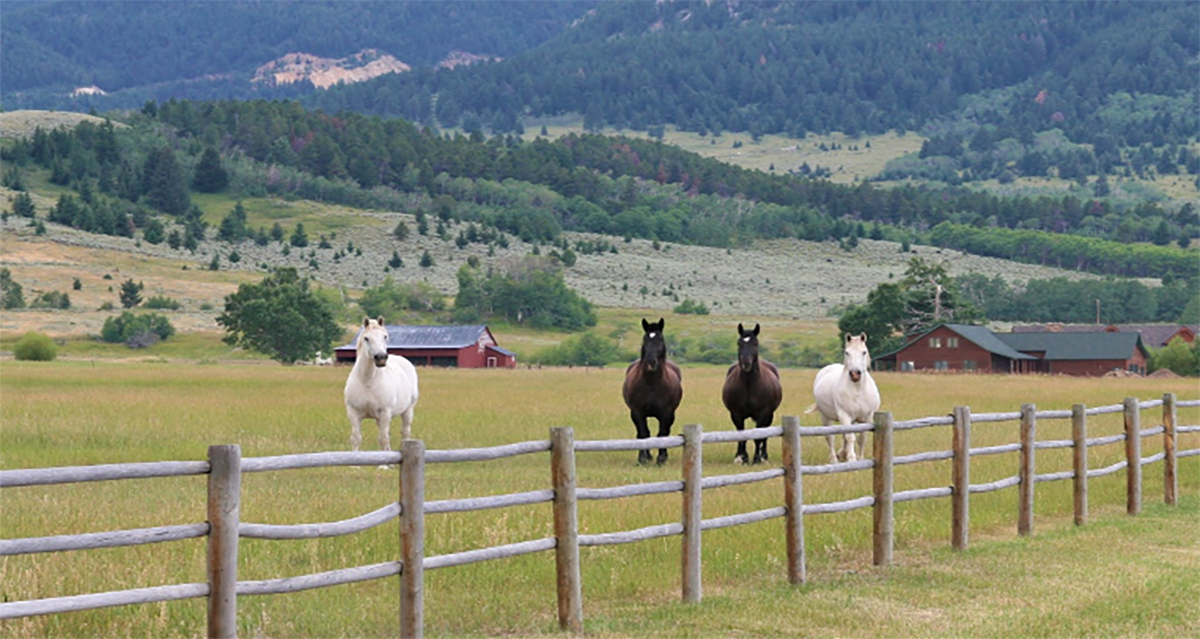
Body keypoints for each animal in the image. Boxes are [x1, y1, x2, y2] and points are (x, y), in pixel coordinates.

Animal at [345, 317, 420, 451]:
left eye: (385, 336)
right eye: (366, 338)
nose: (381, 358)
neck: (367, 381)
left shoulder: (385, 413)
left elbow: (383, 440)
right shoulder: (353, 413)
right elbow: (356, 439)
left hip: (407, 411)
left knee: (405, 433)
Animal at [624, 317, 681, 463]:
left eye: (660, 338)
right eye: (645, 338)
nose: (651, 362)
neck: (652, 383)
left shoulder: (666, 413)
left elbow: (662, 434)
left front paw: (661, 458)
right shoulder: (637, 412)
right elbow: (643, 434)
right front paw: (643, 458)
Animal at [724, 324, 782, 463]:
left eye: (755, 343)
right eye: (739, 343)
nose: (746, 364)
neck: (749, 385)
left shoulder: (763, 414)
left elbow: (758, 437)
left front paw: (756, 459)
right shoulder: (736, 414)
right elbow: (741, 435)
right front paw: (741, 458)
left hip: (770, 415)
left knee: (765, 435)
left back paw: (764, 456)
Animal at [811, 331, 878, 461]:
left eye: (864, 352)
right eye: (847, 352)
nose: (855, 374)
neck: (858, 390)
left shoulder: (867, 417)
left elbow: (862, 438)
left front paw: (860, 458)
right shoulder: (845, 416)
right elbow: (850, 437)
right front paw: (852, 458)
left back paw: (842, 454)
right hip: (825, 417)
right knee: (830, 438)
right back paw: (834, 459)